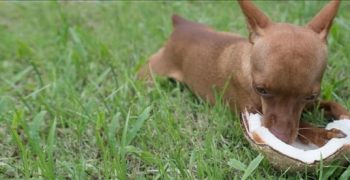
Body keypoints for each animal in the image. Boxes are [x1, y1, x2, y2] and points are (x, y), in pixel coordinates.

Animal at [139, 0, 350, 146]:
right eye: (261, 89)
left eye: (310, 96)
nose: (279, 137)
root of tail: (182, 25)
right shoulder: (253, 111)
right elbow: (303, 126)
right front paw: (322, 134)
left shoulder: (311, 104)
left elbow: (330, 104)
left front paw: (343, 113)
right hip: (152, 74)